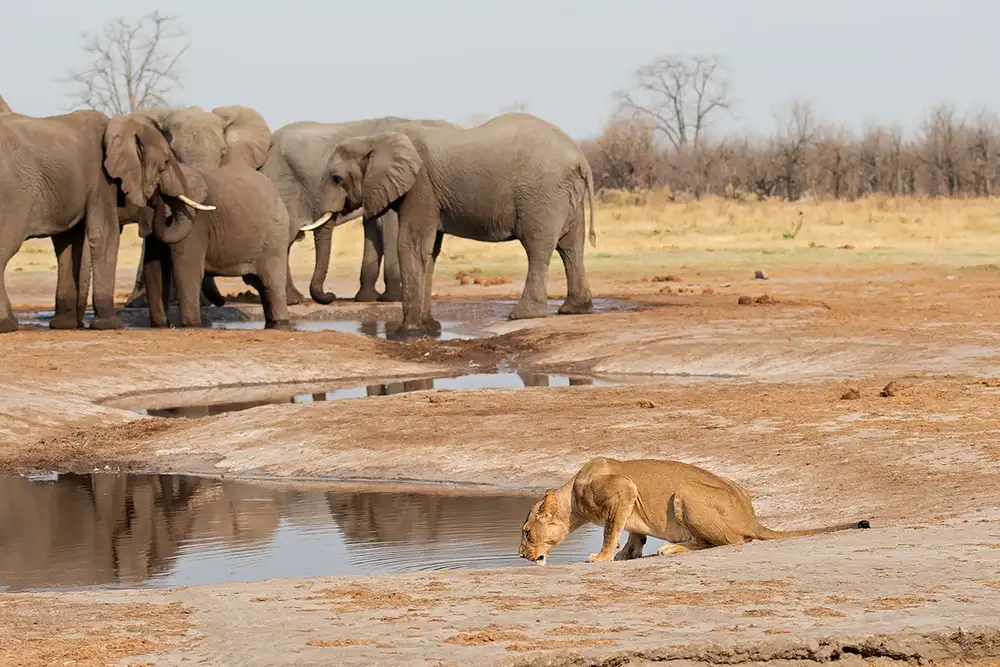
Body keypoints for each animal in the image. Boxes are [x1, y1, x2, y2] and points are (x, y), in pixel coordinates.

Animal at [518, 457, 870, 565]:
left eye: (526, 532)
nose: (521, 555)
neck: (573, 499)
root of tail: (752, 517)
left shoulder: (623, 489)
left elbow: (610, 530)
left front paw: (602, 557)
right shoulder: (629, 501)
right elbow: (633, 533)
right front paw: (627, 555)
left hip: (685, 492)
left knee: (728, 542)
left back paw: (673, 549)